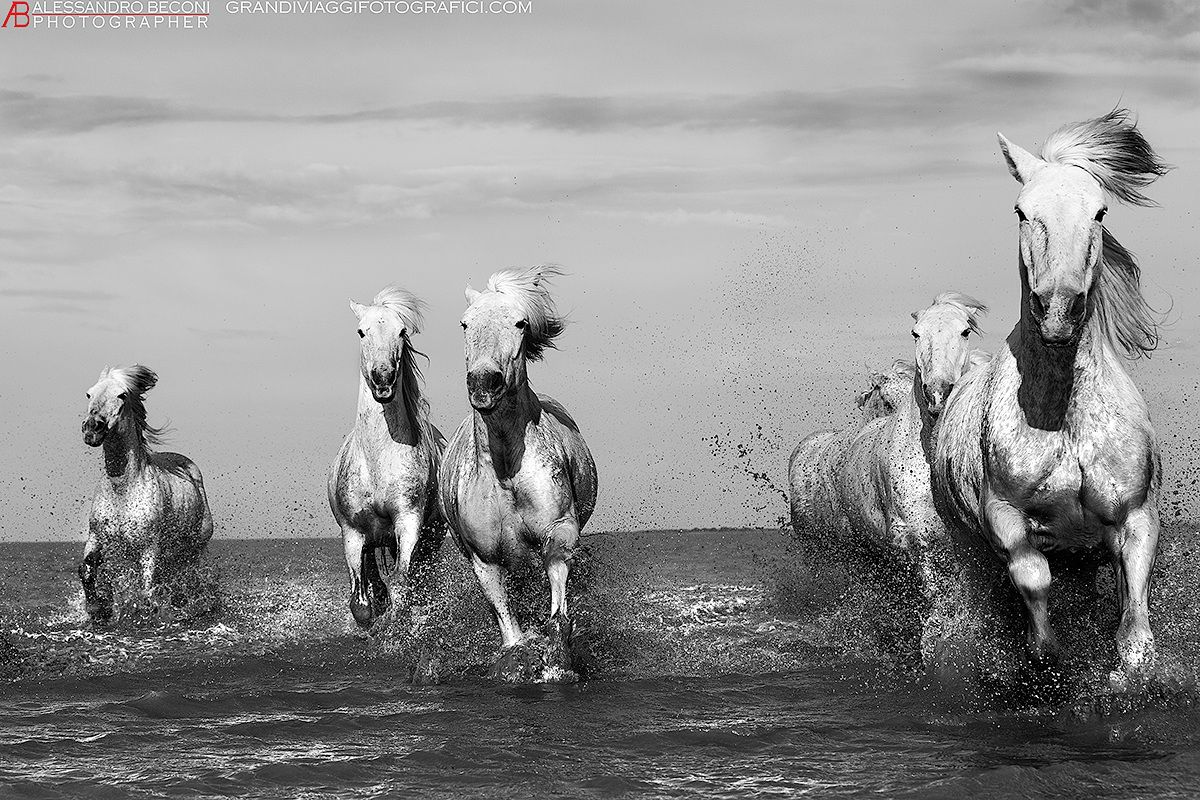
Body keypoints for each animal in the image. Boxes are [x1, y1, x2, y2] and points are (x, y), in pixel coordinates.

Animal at [80, 365, 213, 623]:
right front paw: (98, 607)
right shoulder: (96, 537)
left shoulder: (149, 547)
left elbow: (147, 589)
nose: (92, 428)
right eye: (89, 393)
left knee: (193, 578)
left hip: (196, 547)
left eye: (122, 395)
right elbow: (87, 569)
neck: (124, 489)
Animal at [328, 287, 446, 630]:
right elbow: (360, 602)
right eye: (361, 331)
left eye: (402, 331)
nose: (383, 379)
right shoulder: (353, 532)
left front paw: (397, 622)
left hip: (429, 538)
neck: (378, 459)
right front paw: (373, 623)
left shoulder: (408, 522)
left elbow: (402, 583)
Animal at [438, 264, 598, 681]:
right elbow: (510, 628)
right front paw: (520, 658)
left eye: (520, 322)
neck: (506, 470)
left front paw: (557, 656)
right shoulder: (485, 559)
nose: (484, 383)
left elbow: (557, 600)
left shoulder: (559, 528)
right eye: (464, 323)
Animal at [933, 109, 1169, 678]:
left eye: (1100, 211)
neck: (1064, 419)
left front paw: (1129, 666)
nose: (1058, 309)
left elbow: (1134, 623)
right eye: (1022, 211)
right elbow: (1033, 578)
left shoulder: (1134, 518)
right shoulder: (1005, 516)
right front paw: (1047, 655)